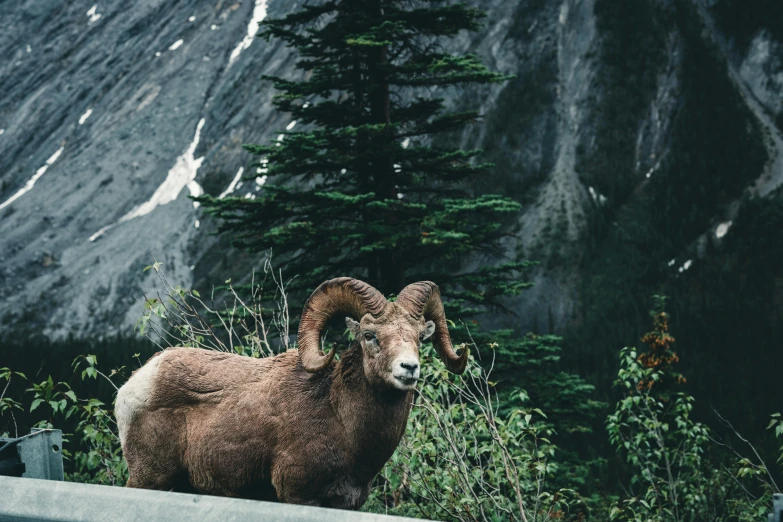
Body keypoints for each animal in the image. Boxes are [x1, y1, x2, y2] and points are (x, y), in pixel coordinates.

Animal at [118, 276, 466, 508]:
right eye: (370, 335)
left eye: (420, 337)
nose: (409, 368)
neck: (340, 419)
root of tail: (136, 384)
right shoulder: (299, 495)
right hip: (149, 478)